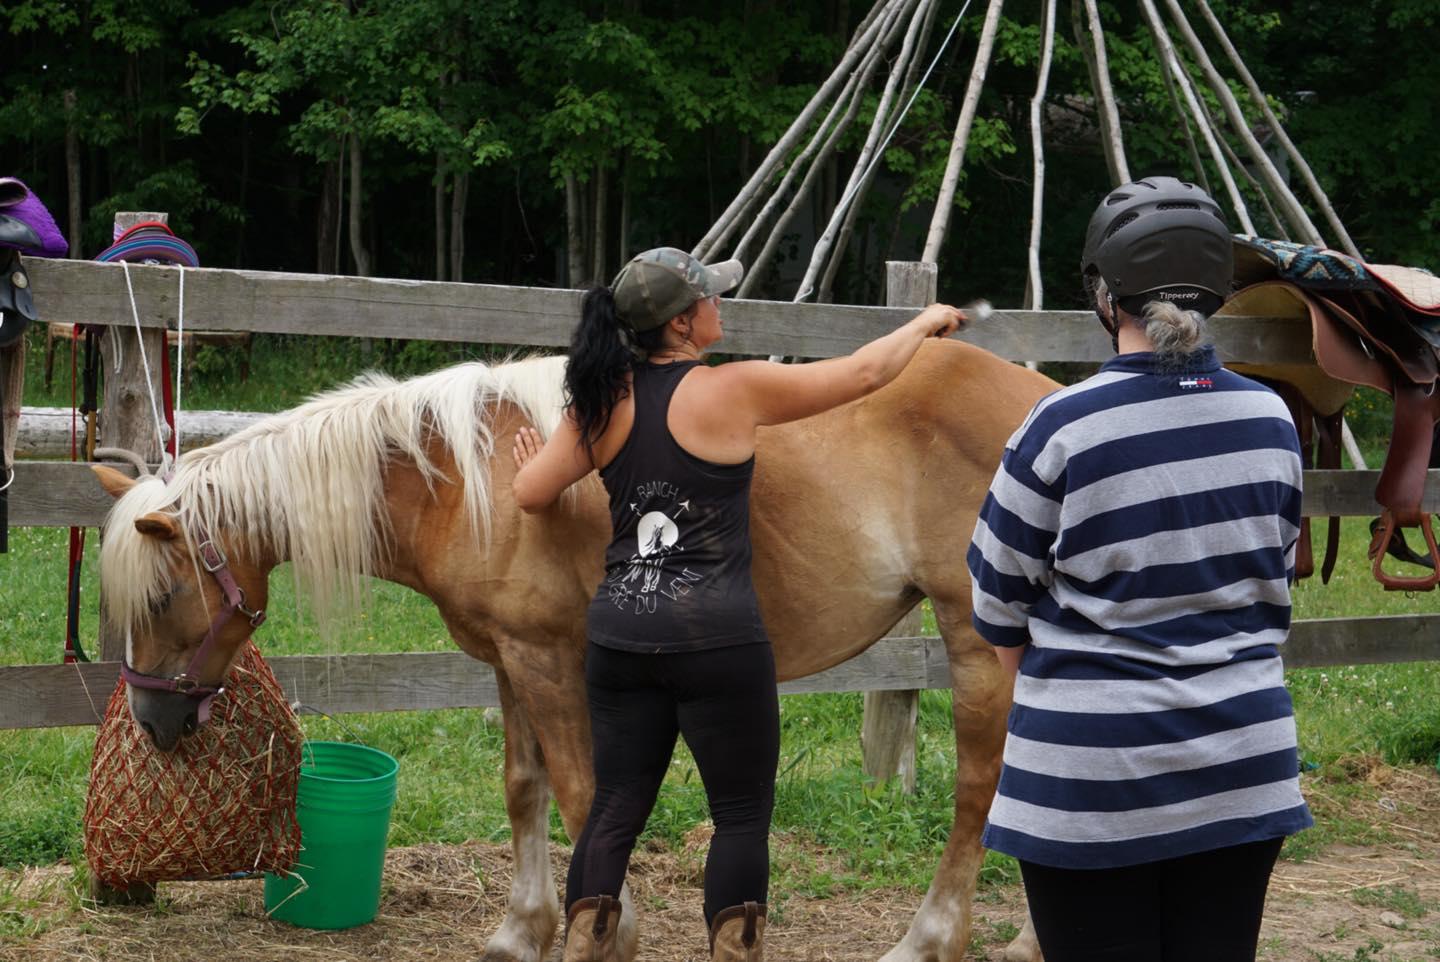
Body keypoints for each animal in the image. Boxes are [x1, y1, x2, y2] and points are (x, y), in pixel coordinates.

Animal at [92, 339, 1059, 962]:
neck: (464, 481)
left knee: (982, 789)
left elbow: (584, 794)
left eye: (163, 596)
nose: (153, 719)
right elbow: (525, 789)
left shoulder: (549, 663)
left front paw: (609, 930)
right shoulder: (507, 660)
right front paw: (522, 929)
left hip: (977, 641)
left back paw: (929, 940)